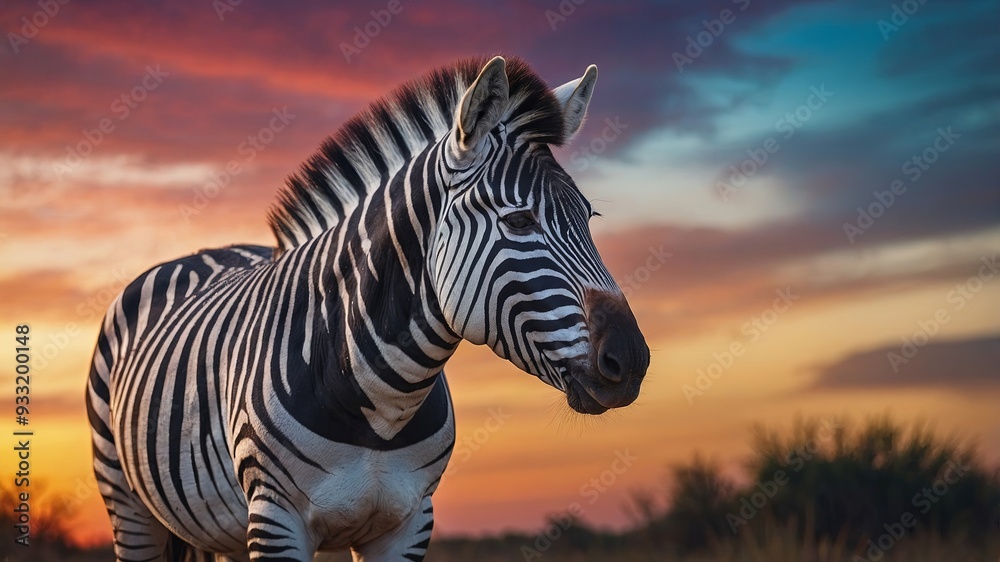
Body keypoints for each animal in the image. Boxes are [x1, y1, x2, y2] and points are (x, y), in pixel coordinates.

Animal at [86, 55, 649, 561]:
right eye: (519, 221)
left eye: (590, 216)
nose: (632, 360)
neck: (380, 405)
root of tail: (208, 251)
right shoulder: (275, 518)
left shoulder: (407, 523)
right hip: (127, 505)